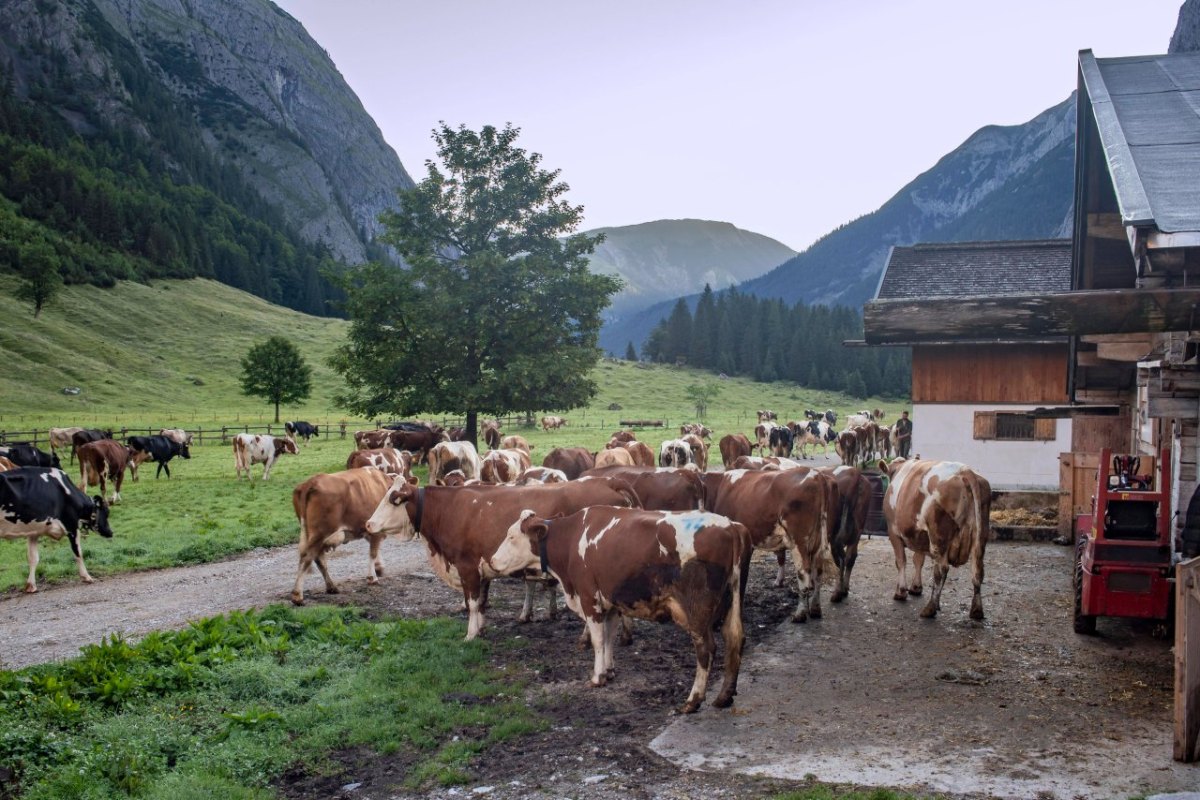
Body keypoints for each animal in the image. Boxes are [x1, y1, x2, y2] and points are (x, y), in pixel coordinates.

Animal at [291, 465, 400, 604]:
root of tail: (311, 481)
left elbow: (375, 548)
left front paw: (379, 568)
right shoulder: (374, 528)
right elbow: (373, 552)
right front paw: (372, 577)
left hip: (311, 533)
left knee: (318, 558)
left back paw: (331, 587)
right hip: (320, 533)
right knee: (307, 557)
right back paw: (297, 595)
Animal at [364, 474, 643, 638]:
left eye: (393, 499)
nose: (368, 523)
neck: (451, 509)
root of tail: (606, 480)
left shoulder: (467, 567)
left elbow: (473, 603)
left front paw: (471, 635)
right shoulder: (481, 570)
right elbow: (482, 602)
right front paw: (481, 628)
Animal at [492, 506, 744, 714]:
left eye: (511, 536)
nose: (492, 560)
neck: (572, 539)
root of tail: (730, 525)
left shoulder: (590, 599)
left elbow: (597, 640)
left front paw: (597, 677)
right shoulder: (610, 604)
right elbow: (608, 638)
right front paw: (609, 670)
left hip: (697, 611)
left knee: (706, 649)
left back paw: (693, 700)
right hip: (731, 601)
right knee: (734, 640)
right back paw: (724, 696)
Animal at [700, 470, 835, 623]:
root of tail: (817, 475)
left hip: (799, 542)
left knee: (804, 575)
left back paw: (800, 614)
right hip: (818, 542)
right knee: (818, 574)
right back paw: (815, 609)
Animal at [878, 460, 988, 623]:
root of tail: (965, 470)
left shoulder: (893, 531)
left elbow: (901, 561)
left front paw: (901, 592)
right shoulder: (920, 536)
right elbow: (918, 560)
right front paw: (916, 587)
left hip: (938, 535)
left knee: (941, 569)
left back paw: (930, 608)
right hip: (980, 537)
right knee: (977, 570)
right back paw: (976, 611)